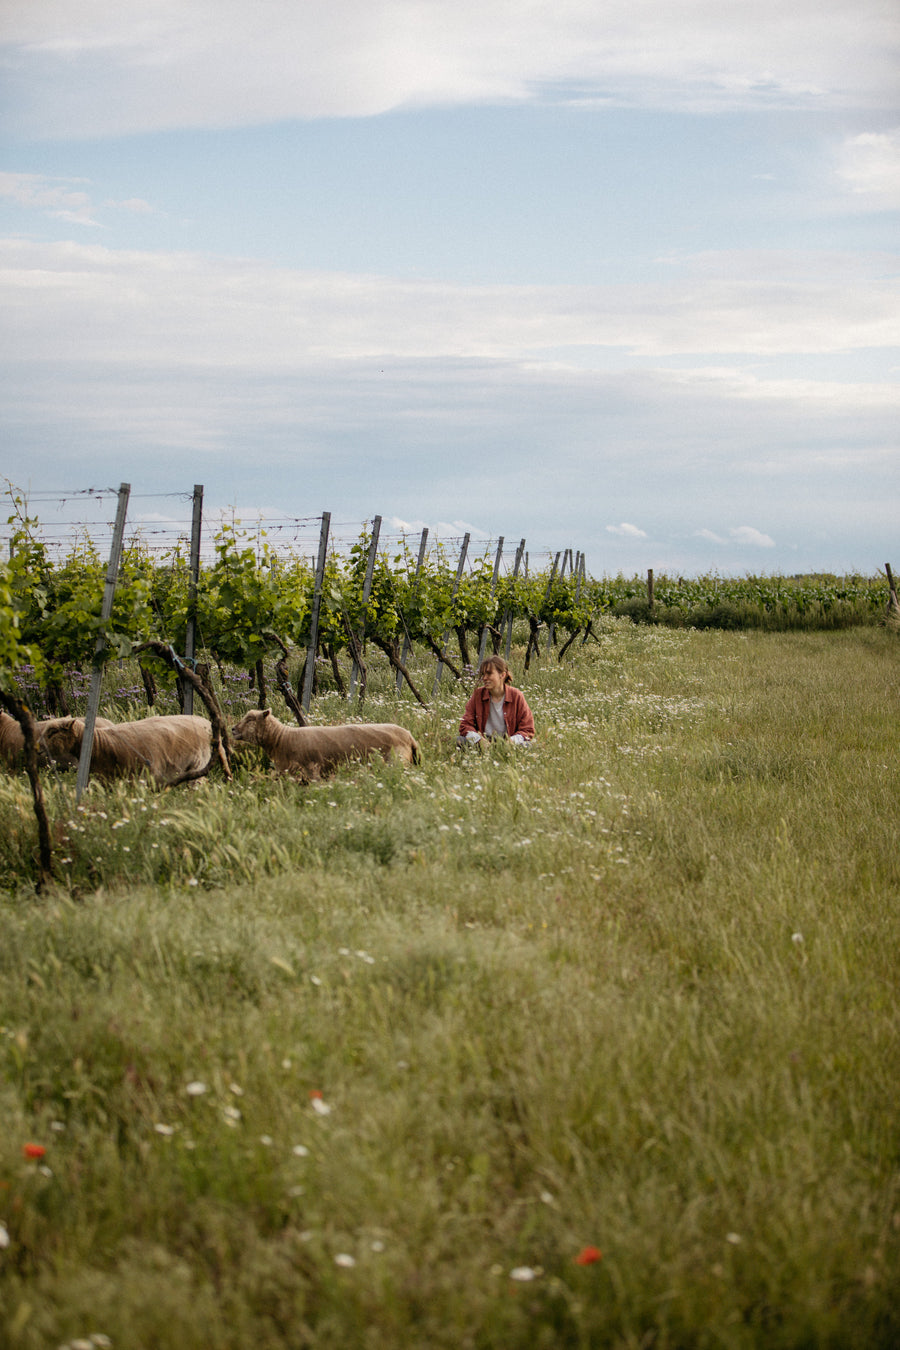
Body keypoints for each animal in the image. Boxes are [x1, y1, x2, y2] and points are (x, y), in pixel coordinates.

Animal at [41, 712, 213, 788]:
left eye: (53, 731)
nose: (38, 747)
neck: (100, 743)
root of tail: (205, 721)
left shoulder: (145, 775)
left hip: (197, 764)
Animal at [229, 707, 418, 783]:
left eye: (251, 719)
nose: (232, 729)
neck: (281, 738)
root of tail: (410, 736)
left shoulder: (308, 772)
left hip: (397, 763)